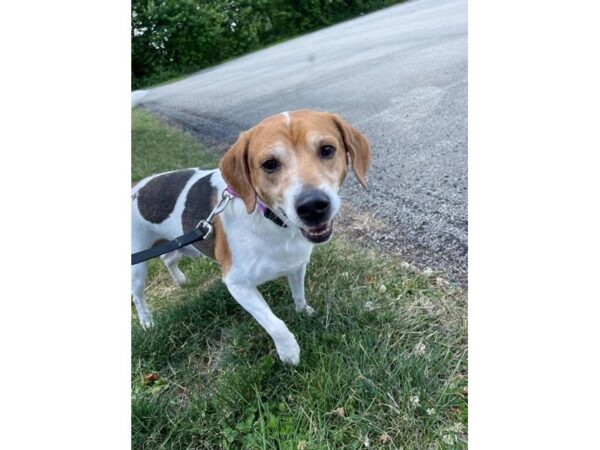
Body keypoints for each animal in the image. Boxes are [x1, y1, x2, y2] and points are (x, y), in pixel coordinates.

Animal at [131, 110, 370, 366]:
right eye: (269, 164)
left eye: (327, 149)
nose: (313, 207)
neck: (272, 221)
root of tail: (134, 189)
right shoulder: (237, 284)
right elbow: (274, 323)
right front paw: (289, 352)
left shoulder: (296, 265)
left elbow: (298, 294)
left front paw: (303, 311)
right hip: (137, 268)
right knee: (138, 296)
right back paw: (147, 321)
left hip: (185, 246)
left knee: (168, 257)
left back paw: (181, 280)